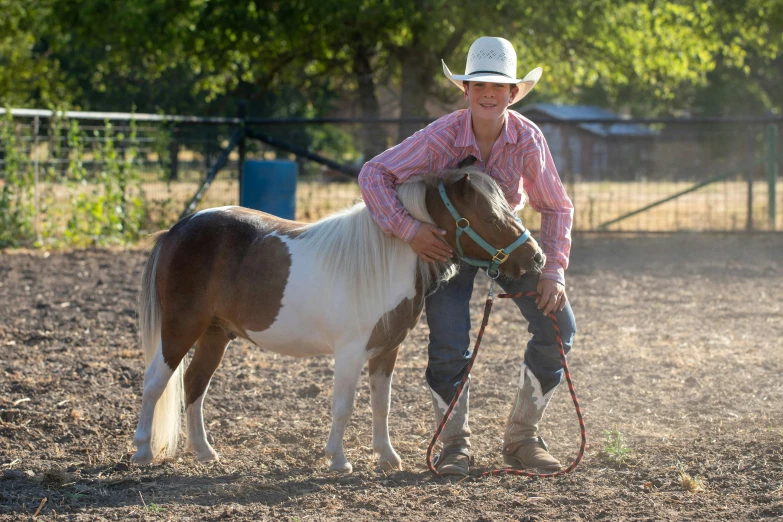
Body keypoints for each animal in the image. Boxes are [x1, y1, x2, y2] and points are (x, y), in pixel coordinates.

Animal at [130, 166, 544, 472]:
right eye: (489, 217)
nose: (537, 258)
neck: (381, 262)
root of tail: (179, 228)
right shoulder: (350, 352)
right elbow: (343, 406)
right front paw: (338, 460)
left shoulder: (386, 351)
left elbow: (382, 404)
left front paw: (387, 457)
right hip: (181, 328)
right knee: (155, 382)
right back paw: (142, 451)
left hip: (215, 334)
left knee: (194, 384)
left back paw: (204, 452)